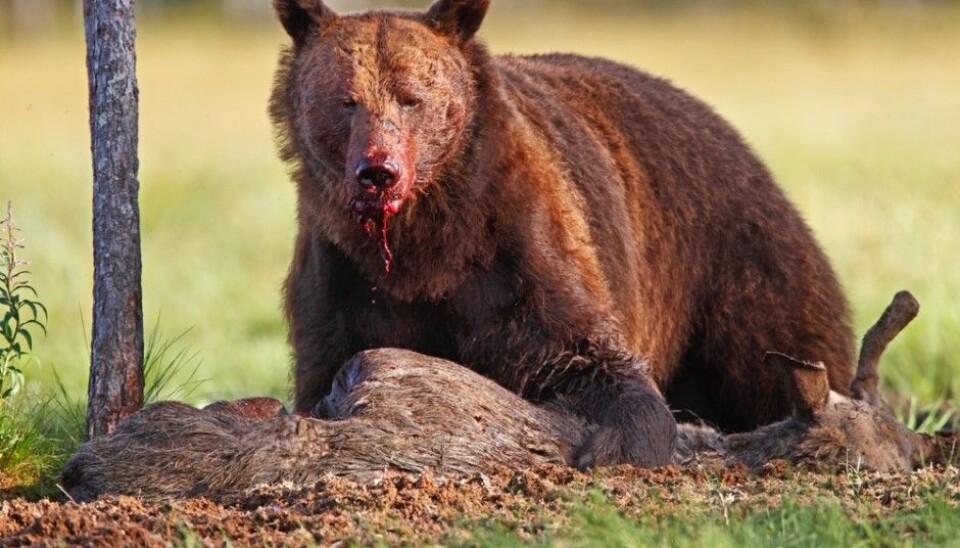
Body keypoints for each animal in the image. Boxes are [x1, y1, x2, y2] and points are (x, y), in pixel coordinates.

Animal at [268, 0, 856, 468]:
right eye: (346, 100)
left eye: (412, 97)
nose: (379, 170)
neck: (425, 243)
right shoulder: (341, 281)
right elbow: (327, 370)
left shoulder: (515, 254)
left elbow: (586, 356)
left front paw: (614, 444)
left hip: (733, 260)